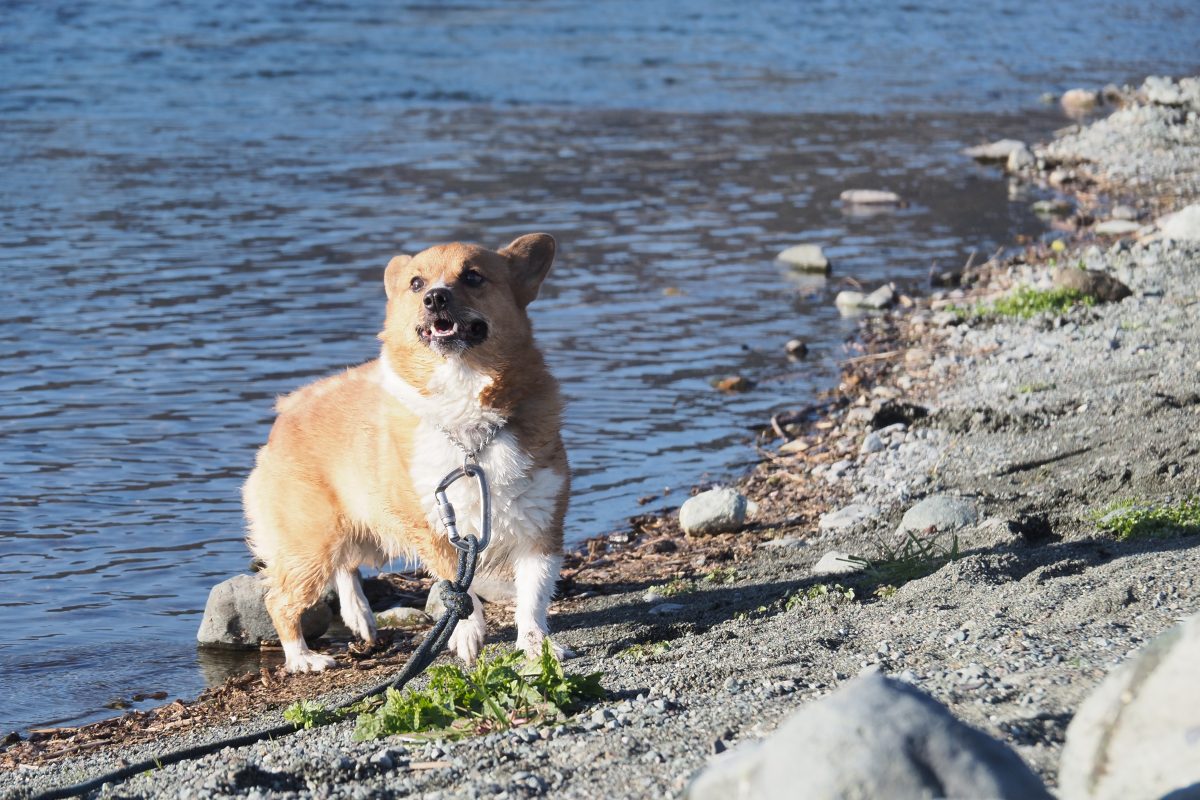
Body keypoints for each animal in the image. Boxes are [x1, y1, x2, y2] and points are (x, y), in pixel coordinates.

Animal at [243, 235, 571, 671]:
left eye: (473, 276)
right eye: (417, 284)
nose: (435, 298)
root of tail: (289, 407)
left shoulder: (541, 526)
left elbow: (533, 596)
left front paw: (537, 646)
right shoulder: (436, 526)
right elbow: (457, 588)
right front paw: (467, 635)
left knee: (345, 569)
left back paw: (360, 619)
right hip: (309, 546)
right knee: (279, 601)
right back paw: (303, 658)